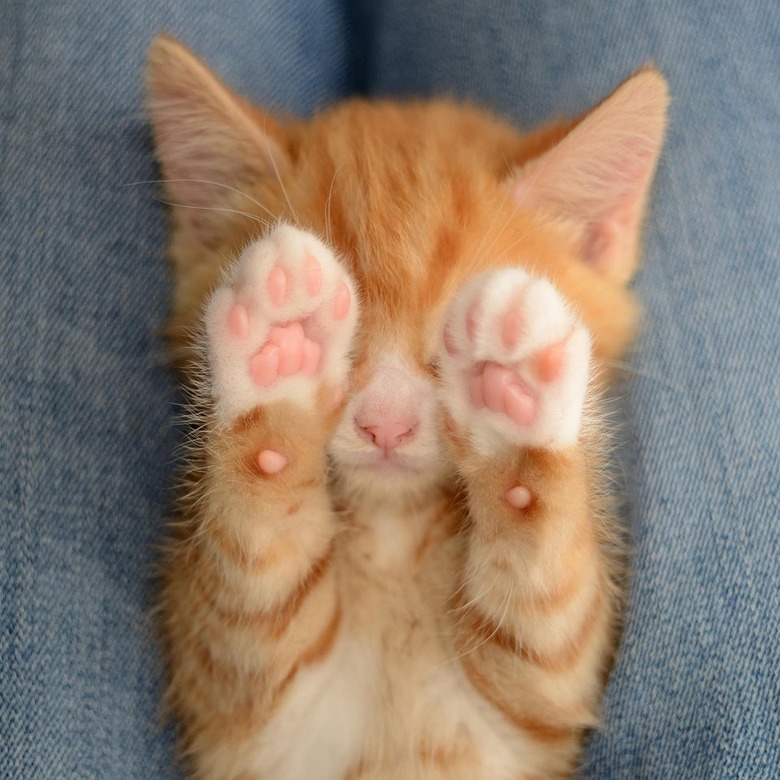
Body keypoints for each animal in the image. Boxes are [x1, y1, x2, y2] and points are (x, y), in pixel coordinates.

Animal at [149, 33, 668, 776]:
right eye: (349, 344)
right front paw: (280, 351)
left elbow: (547, 606)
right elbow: (253, 573)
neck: (396, 532)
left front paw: (516, 397)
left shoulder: (542, 709)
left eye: (443, 353)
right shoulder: (247, 710)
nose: (386, 425)